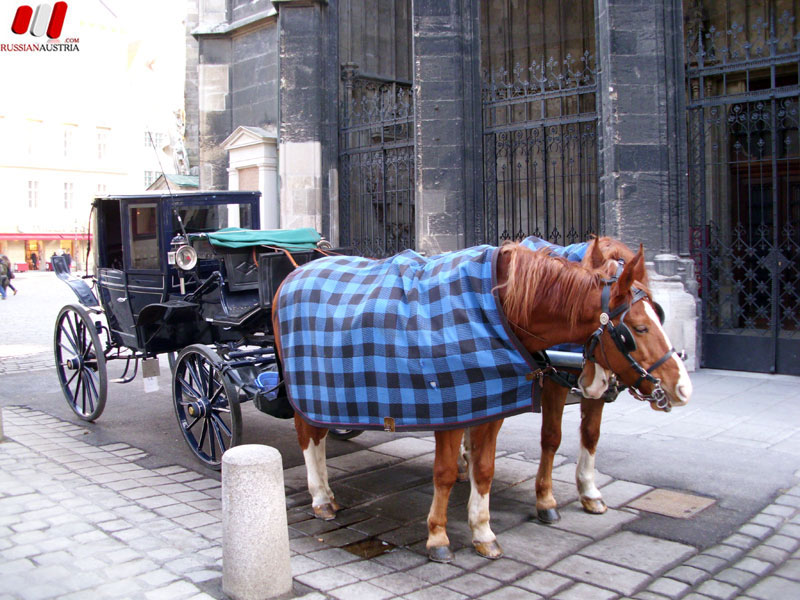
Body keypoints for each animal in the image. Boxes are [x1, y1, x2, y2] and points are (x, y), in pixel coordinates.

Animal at [272, 238, 692, 564]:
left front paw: (483, 531)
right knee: (309, 436)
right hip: (304, 386)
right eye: (637, 329)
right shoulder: (449, 409)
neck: (500, 309)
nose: (682, 387)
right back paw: (320, 497)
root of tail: (291, 275)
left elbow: (488, 468)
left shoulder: (493, 402)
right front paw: (439, 536)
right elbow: (445, 472)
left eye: (659, 314)